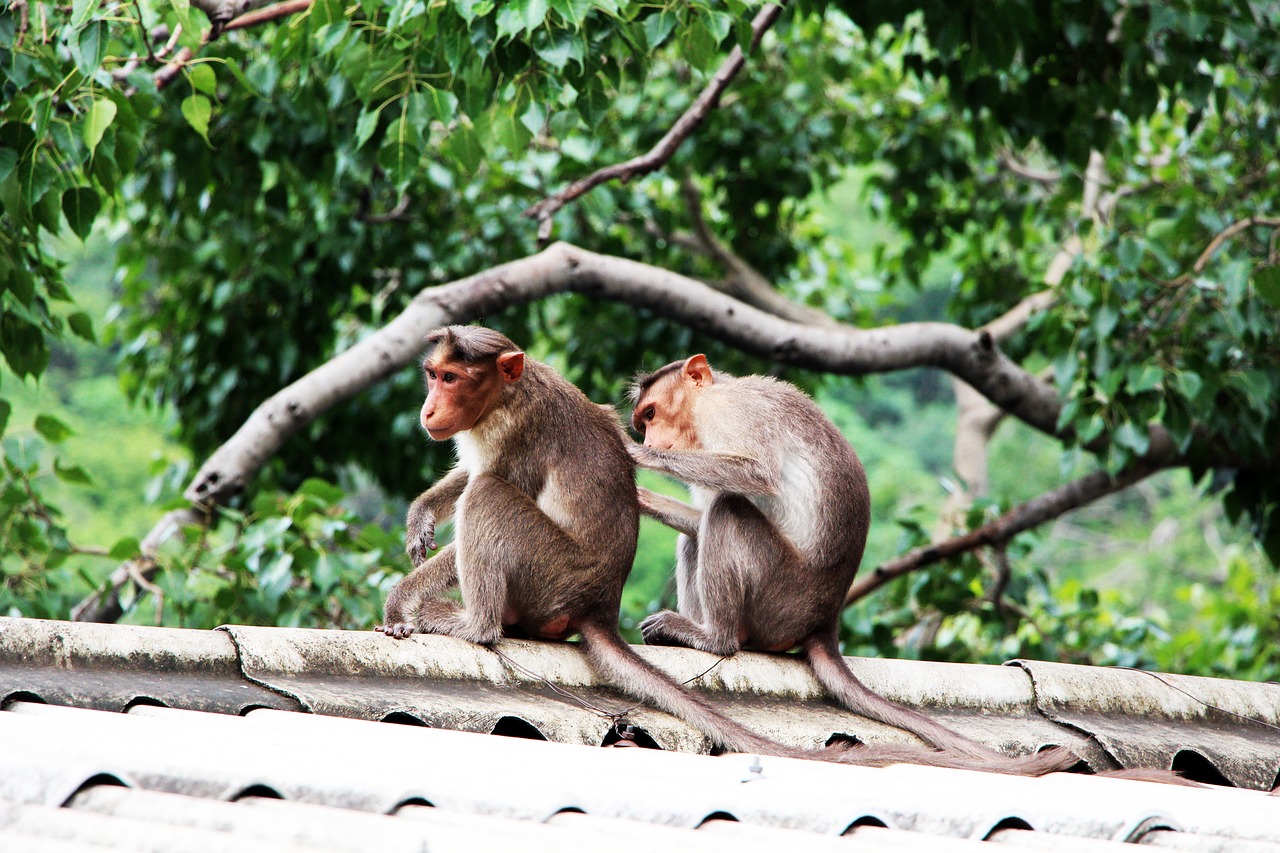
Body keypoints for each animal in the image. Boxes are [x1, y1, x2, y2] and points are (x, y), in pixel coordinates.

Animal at [624, 350, 1085, 768]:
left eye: (651, 414)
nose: (648, 440)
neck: (709, 402)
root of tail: (824, 621)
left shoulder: (733, 413)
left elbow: (755, 474)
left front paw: (638, 457)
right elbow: (700, 516)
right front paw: (641, 496)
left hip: (781, 600)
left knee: (728, 511)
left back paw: (714, 637)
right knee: (698, 533)